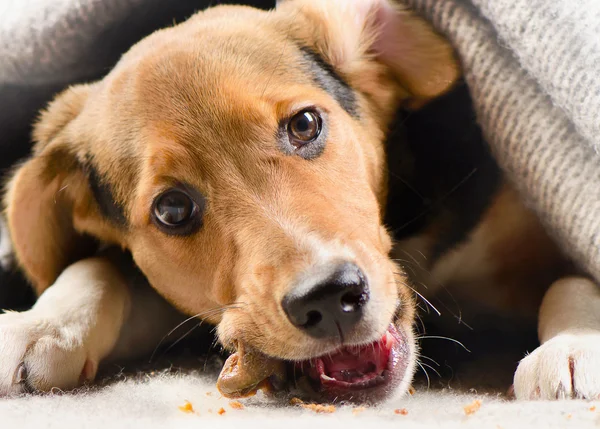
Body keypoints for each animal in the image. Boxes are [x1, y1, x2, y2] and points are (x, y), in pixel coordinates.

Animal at [0, 0, 596, 402]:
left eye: (305, 124)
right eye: (172, 210)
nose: (329, 298)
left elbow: (572, 276)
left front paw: (577, 345)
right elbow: (100, 267)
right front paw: (39, 325)